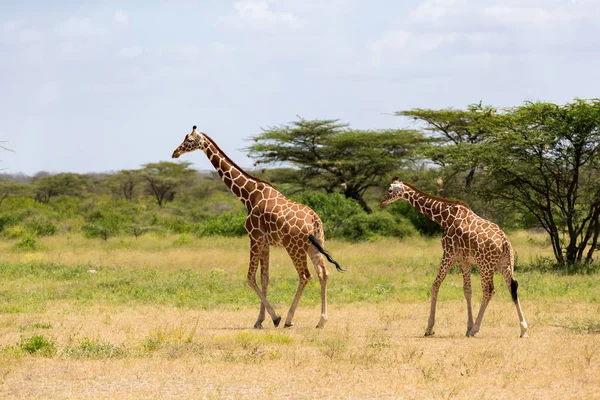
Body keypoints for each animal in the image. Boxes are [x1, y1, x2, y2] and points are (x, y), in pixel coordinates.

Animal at [171, 126, 344, 330]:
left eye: (189, 140)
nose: (175, 153)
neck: (248, 195)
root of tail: (314, 220)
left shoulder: (254, 237)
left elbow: (250, 277)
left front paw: (274, 318)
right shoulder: (265, 242)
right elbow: (264, 278)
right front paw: (261, 320)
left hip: (294, 247)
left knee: (305, 275)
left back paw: (289, 319)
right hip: (314, 245)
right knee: (323, 273)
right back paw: (321, 321)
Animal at [382, 178, 528, 338]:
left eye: (389, 190)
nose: (382, 202)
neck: (444, 217)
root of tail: (504, 241)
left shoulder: (449, 254)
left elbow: (435, 285)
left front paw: (429, 328)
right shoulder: (464, 260)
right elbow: (467, 290)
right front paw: (467, 327)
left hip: (485, 265)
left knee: (489, 291)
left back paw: (476, 329)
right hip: (505, 263)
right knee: (513, 286)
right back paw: (523, 329)